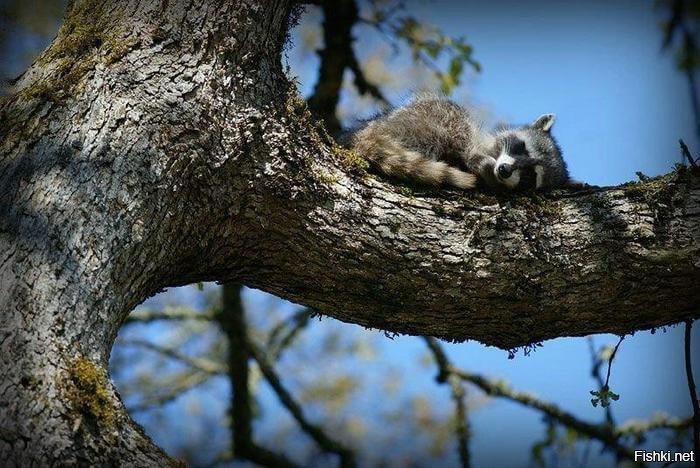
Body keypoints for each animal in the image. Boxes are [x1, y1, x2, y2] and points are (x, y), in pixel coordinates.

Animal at [348, 97, 572, 192]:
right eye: (522, 148)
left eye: (531, 176)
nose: (505, 170)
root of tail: (370, 133)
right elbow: (470, 142)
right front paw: (477, 158)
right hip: (416, 119)